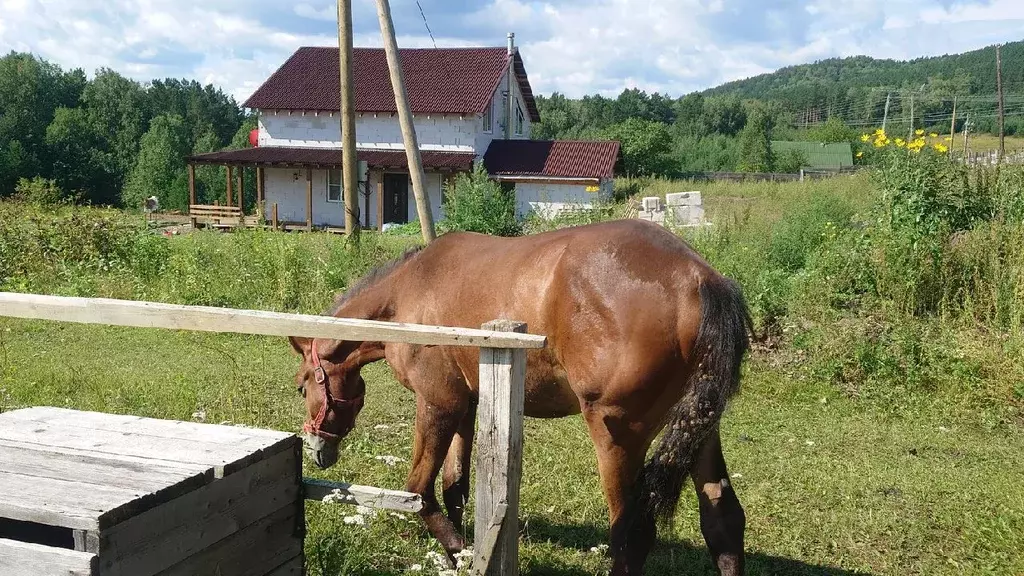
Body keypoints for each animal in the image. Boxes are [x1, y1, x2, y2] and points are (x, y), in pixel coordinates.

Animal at [288, 217, 753, 569]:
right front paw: (458, 552)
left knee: (630, 534)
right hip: (699, 430)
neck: (407, 294)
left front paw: (459, 549)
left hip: (618, 435)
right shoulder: (467, 406)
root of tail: (697, 278)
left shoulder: (438, 404)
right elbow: (455, 486)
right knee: (723, 522)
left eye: (302, 385)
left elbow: (419, 490)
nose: (316, 448)